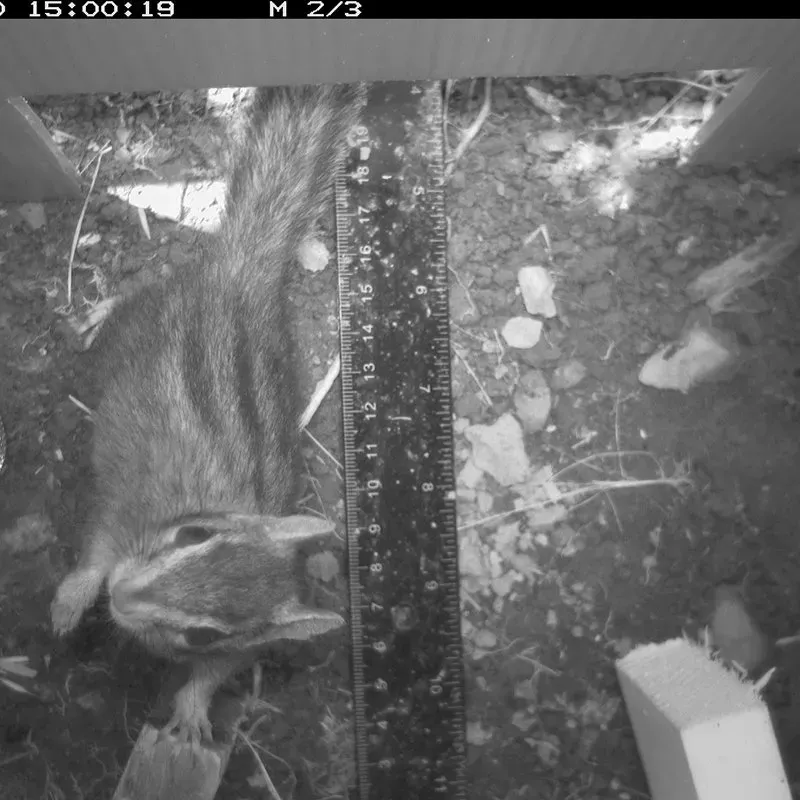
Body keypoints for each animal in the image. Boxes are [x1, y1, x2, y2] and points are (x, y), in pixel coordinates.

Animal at [50, 83, 366, 744]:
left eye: (201, 633)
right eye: (192, 536)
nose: (123, 596)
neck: (193, 505)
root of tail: (243, 271)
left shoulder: (240, 649)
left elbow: (218, 672)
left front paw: (193, 712)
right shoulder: (124, 512)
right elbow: (94, 549)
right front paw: (72, 602)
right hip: (144, 319)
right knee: (131, 301)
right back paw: (98, 313)